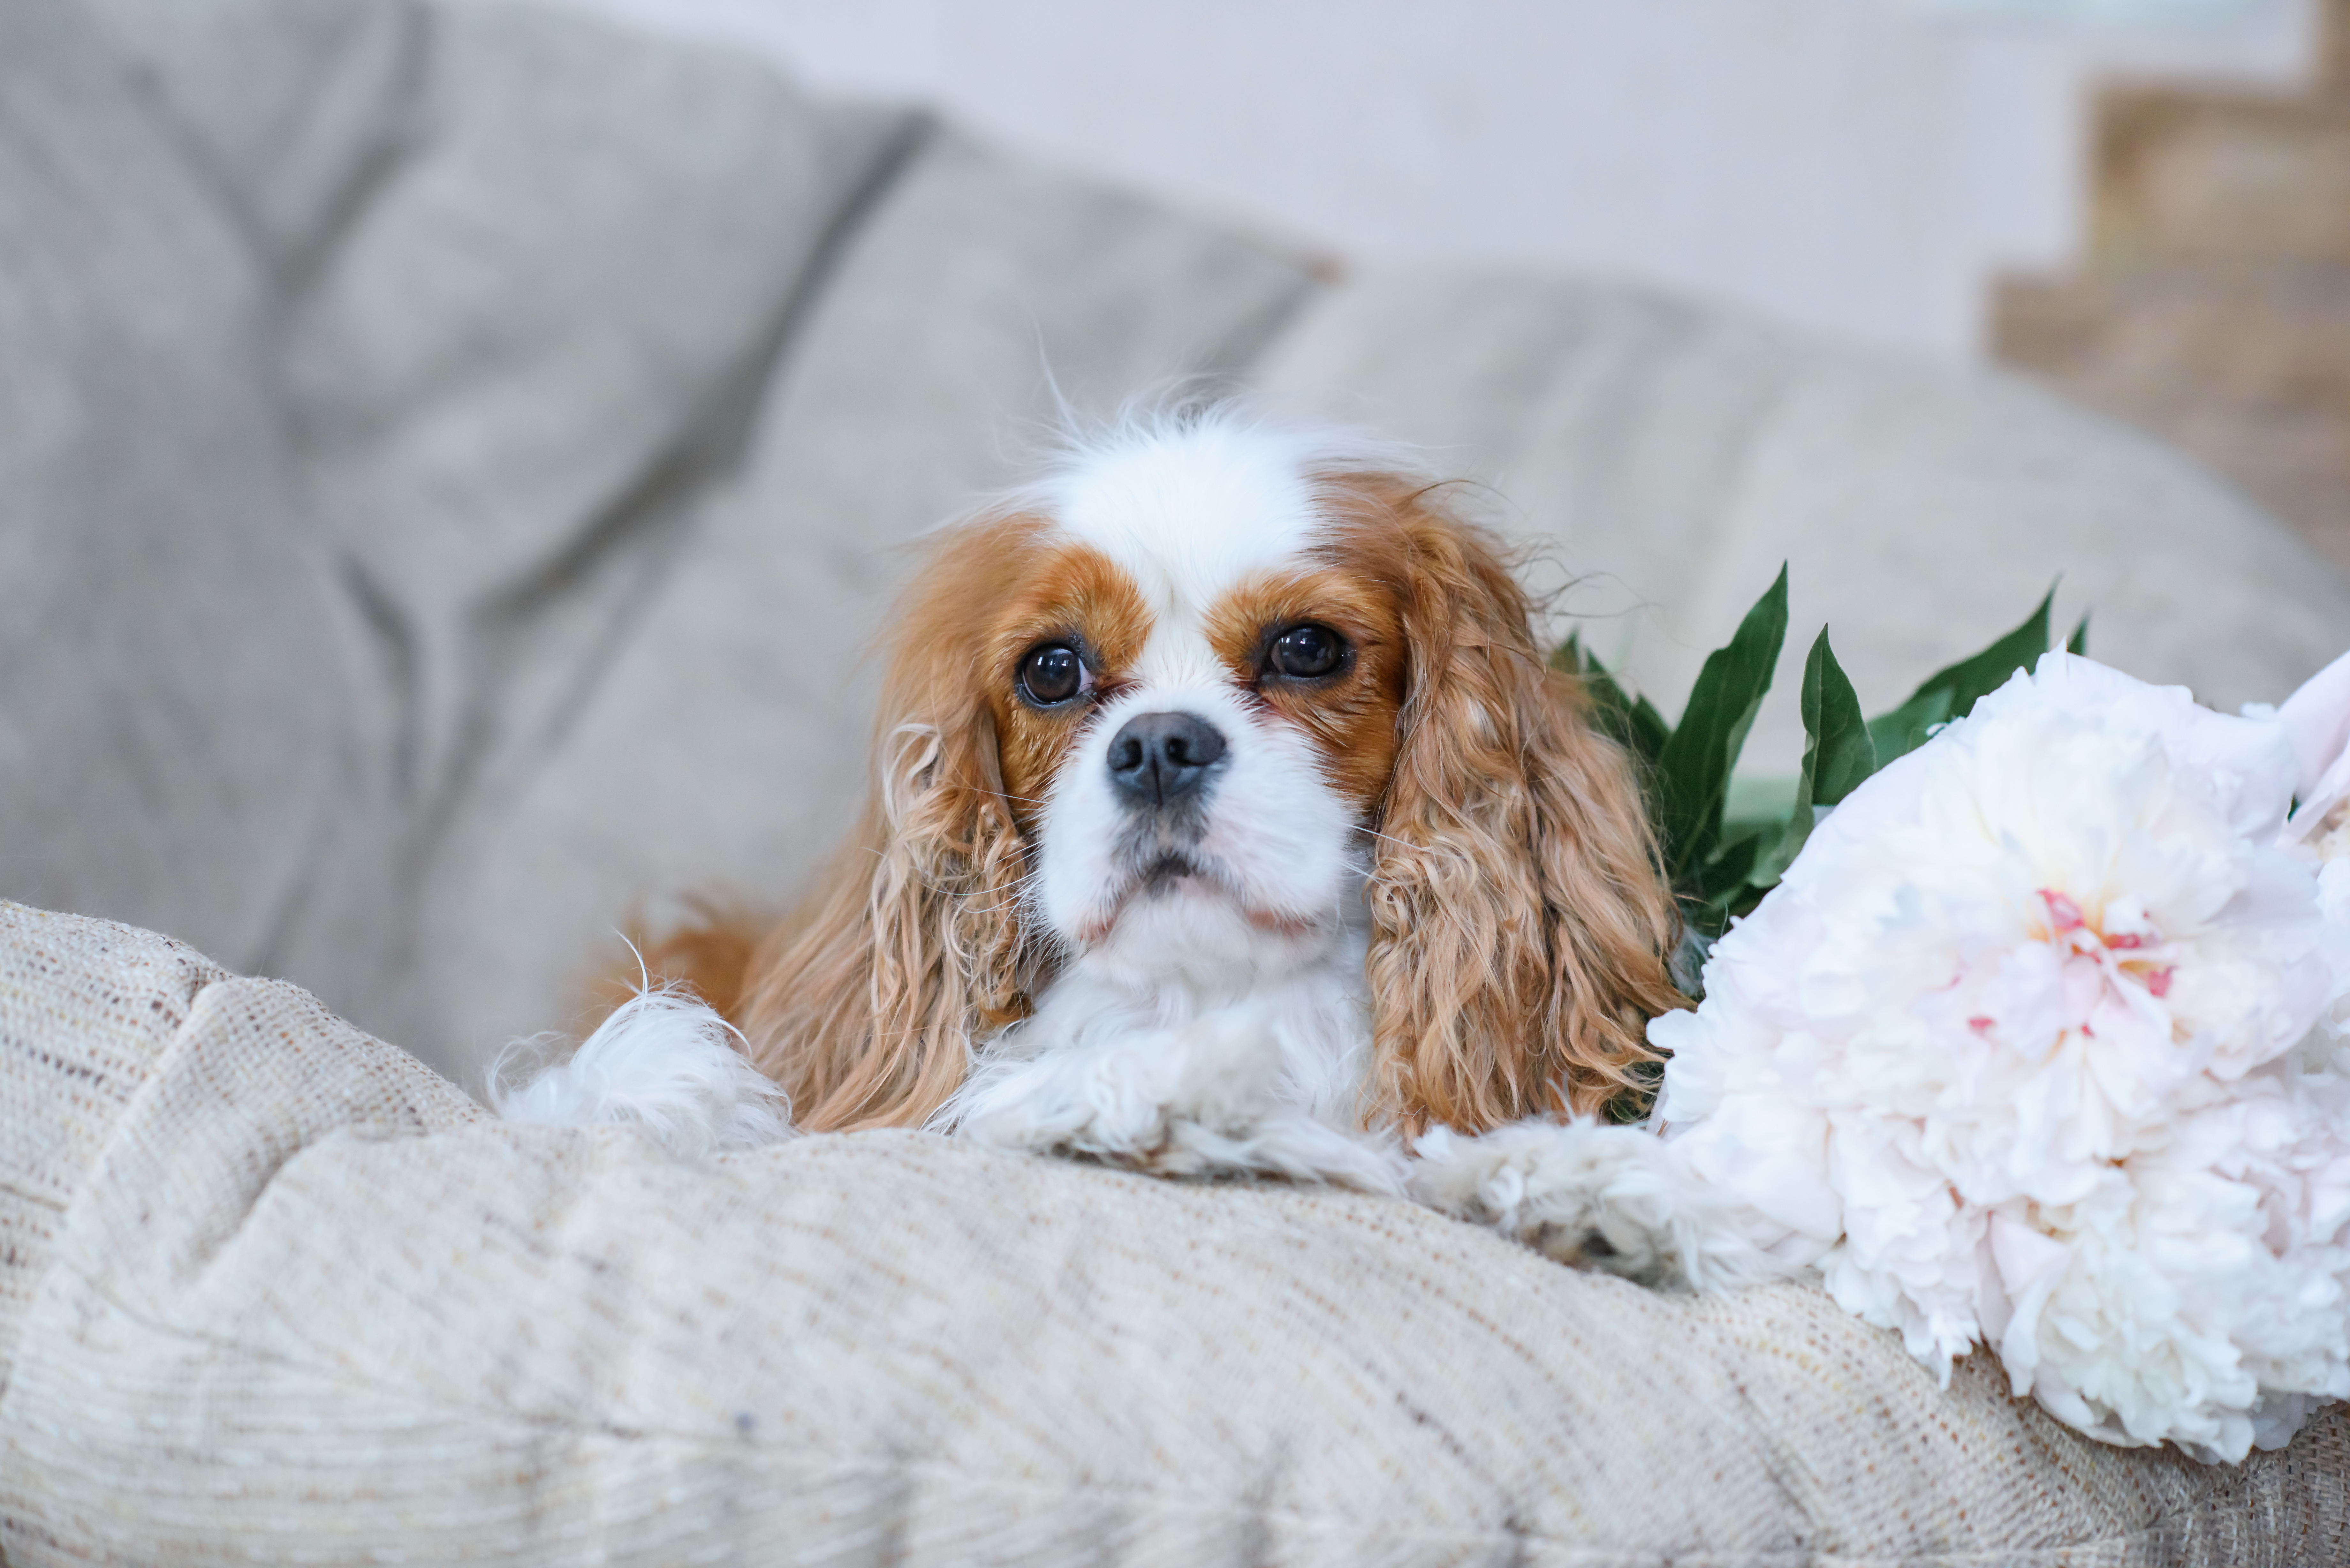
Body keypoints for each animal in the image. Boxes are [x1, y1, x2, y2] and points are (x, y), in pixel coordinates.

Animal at [514, 411, 1767, 1298]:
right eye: (1051, 670)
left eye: (1306, 649)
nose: (1160, 744)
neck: (1203, 994)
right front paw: (1156, 1102)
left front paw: (1579, 1184)